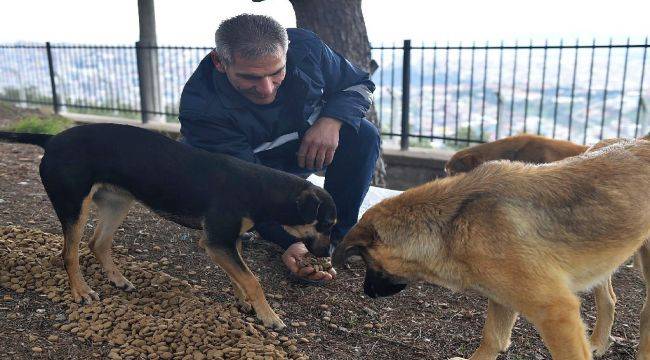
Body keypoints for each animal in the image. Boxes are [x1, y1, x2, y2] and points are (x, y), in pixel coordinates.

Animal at [0, 124, 334, 330]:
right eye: (328, 224)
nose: (328, 254)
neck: (259, 187)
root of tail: (51, 140)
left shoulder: (229, 241)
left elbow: (240, 278)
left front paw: (245, 304)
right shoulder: (216, 243)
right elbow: (253, 280)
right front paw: (269, 316)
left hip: (117, 203)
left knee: (98, 243)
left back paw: (118, 280)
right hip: (74, 207)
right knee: (69, 253)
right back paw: (81, 291)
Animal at [334, 137, 650, 358]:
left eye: (368, 263)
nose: (366, 292)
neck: (453, 224)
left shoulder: (556, 312)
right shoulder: (502, 299)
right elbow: (492, 340)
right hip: (604, 260)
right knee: (608, 298)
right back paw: (599, 342)